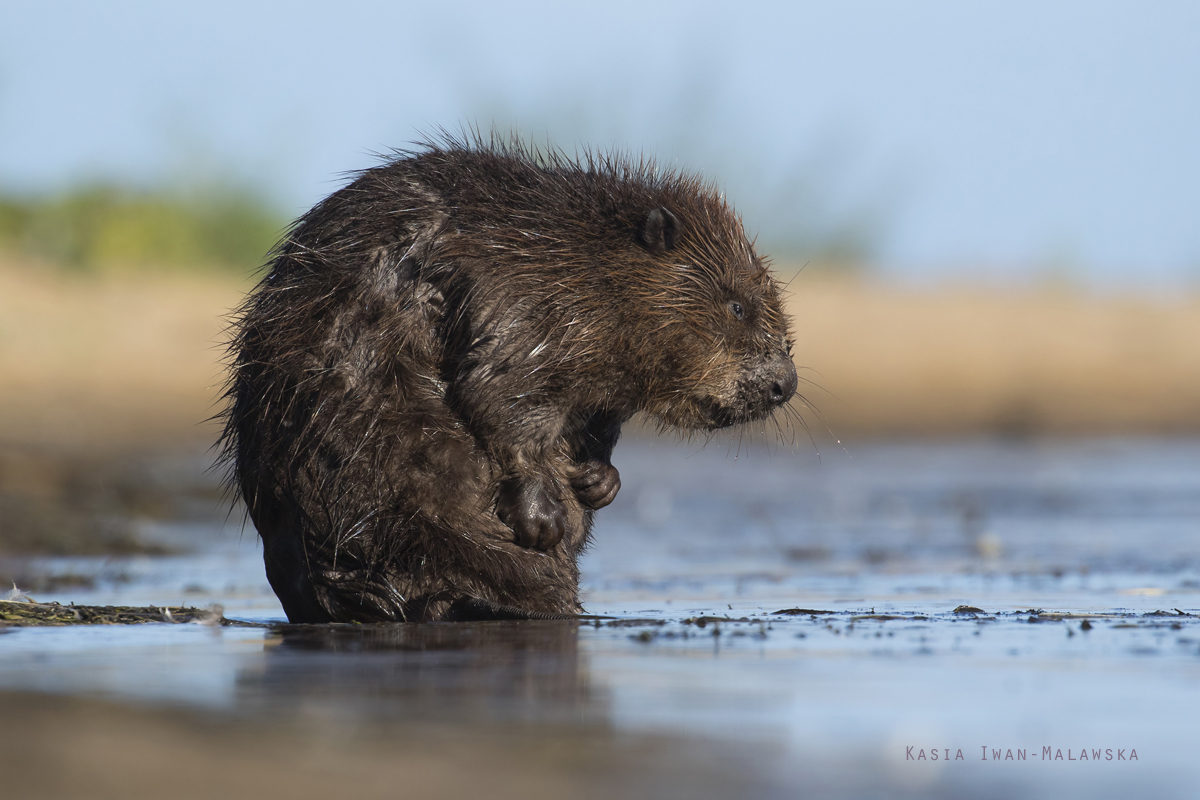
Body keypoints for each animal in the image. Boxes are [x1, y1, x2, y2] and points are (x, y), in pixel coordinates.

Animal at [220, 136, 801, 623]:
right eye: (737, 306)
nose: (785, 384)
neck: (582, 258)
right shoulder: (521, 301)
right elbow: (497, 395)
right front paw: (544, 518)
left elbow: (592, 423)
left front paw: (598, 481)